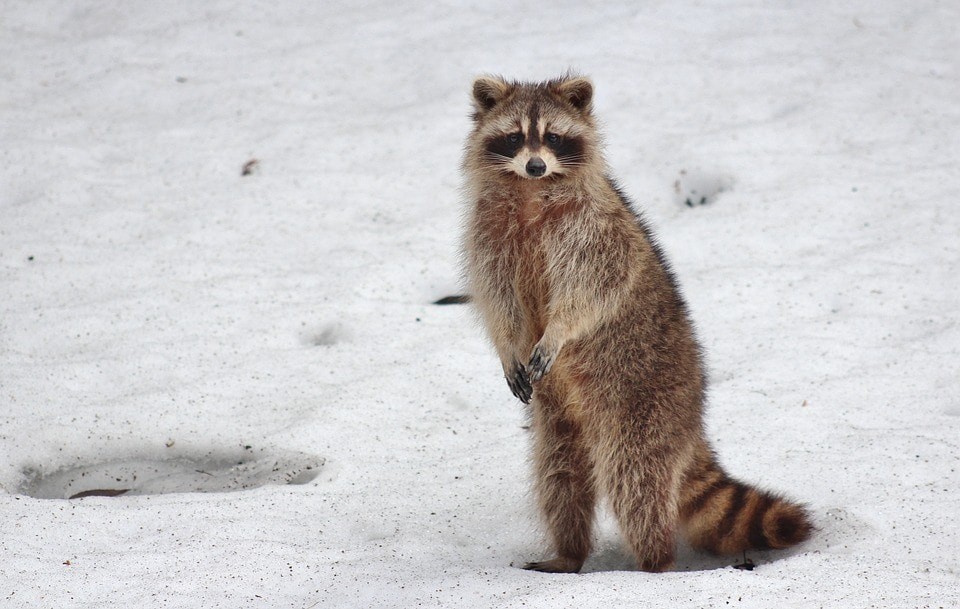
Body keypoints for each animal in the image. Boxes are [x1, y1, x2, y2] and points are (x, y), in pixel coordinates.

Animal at [461, 75, 811, 573]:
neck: (531, 192)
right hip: (559, 419)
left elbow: (593, 289)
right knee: (559, 475)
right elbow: (498, 299)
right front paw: (508, 344)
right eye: (514, 137)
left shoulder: (595, 230)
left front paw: (559, 330)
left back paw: (654, 561)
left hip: (644, 404)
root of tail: (692, 420)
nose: (534, 165)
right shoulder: (487, 235)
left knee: (636, 478)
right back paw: (569, 552)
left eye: (552, 137)